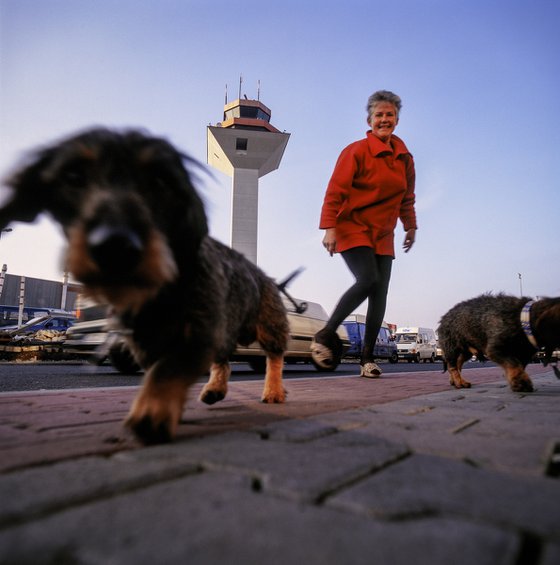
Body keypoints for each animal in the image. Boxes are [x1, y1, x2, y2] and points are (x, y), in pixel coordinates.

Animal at [0, 129, 288, 446]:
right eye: (73, 176)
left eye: (161, 182)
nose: (115, 246)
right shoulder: (147, 343)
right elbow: (159, 372)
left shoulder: (196, 335)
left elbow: (167, 372)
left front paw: (152, 414)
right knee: (222, 361)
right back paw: (215, 389)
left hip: (268, 326)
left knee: (275, 358)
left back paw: (273, 390)